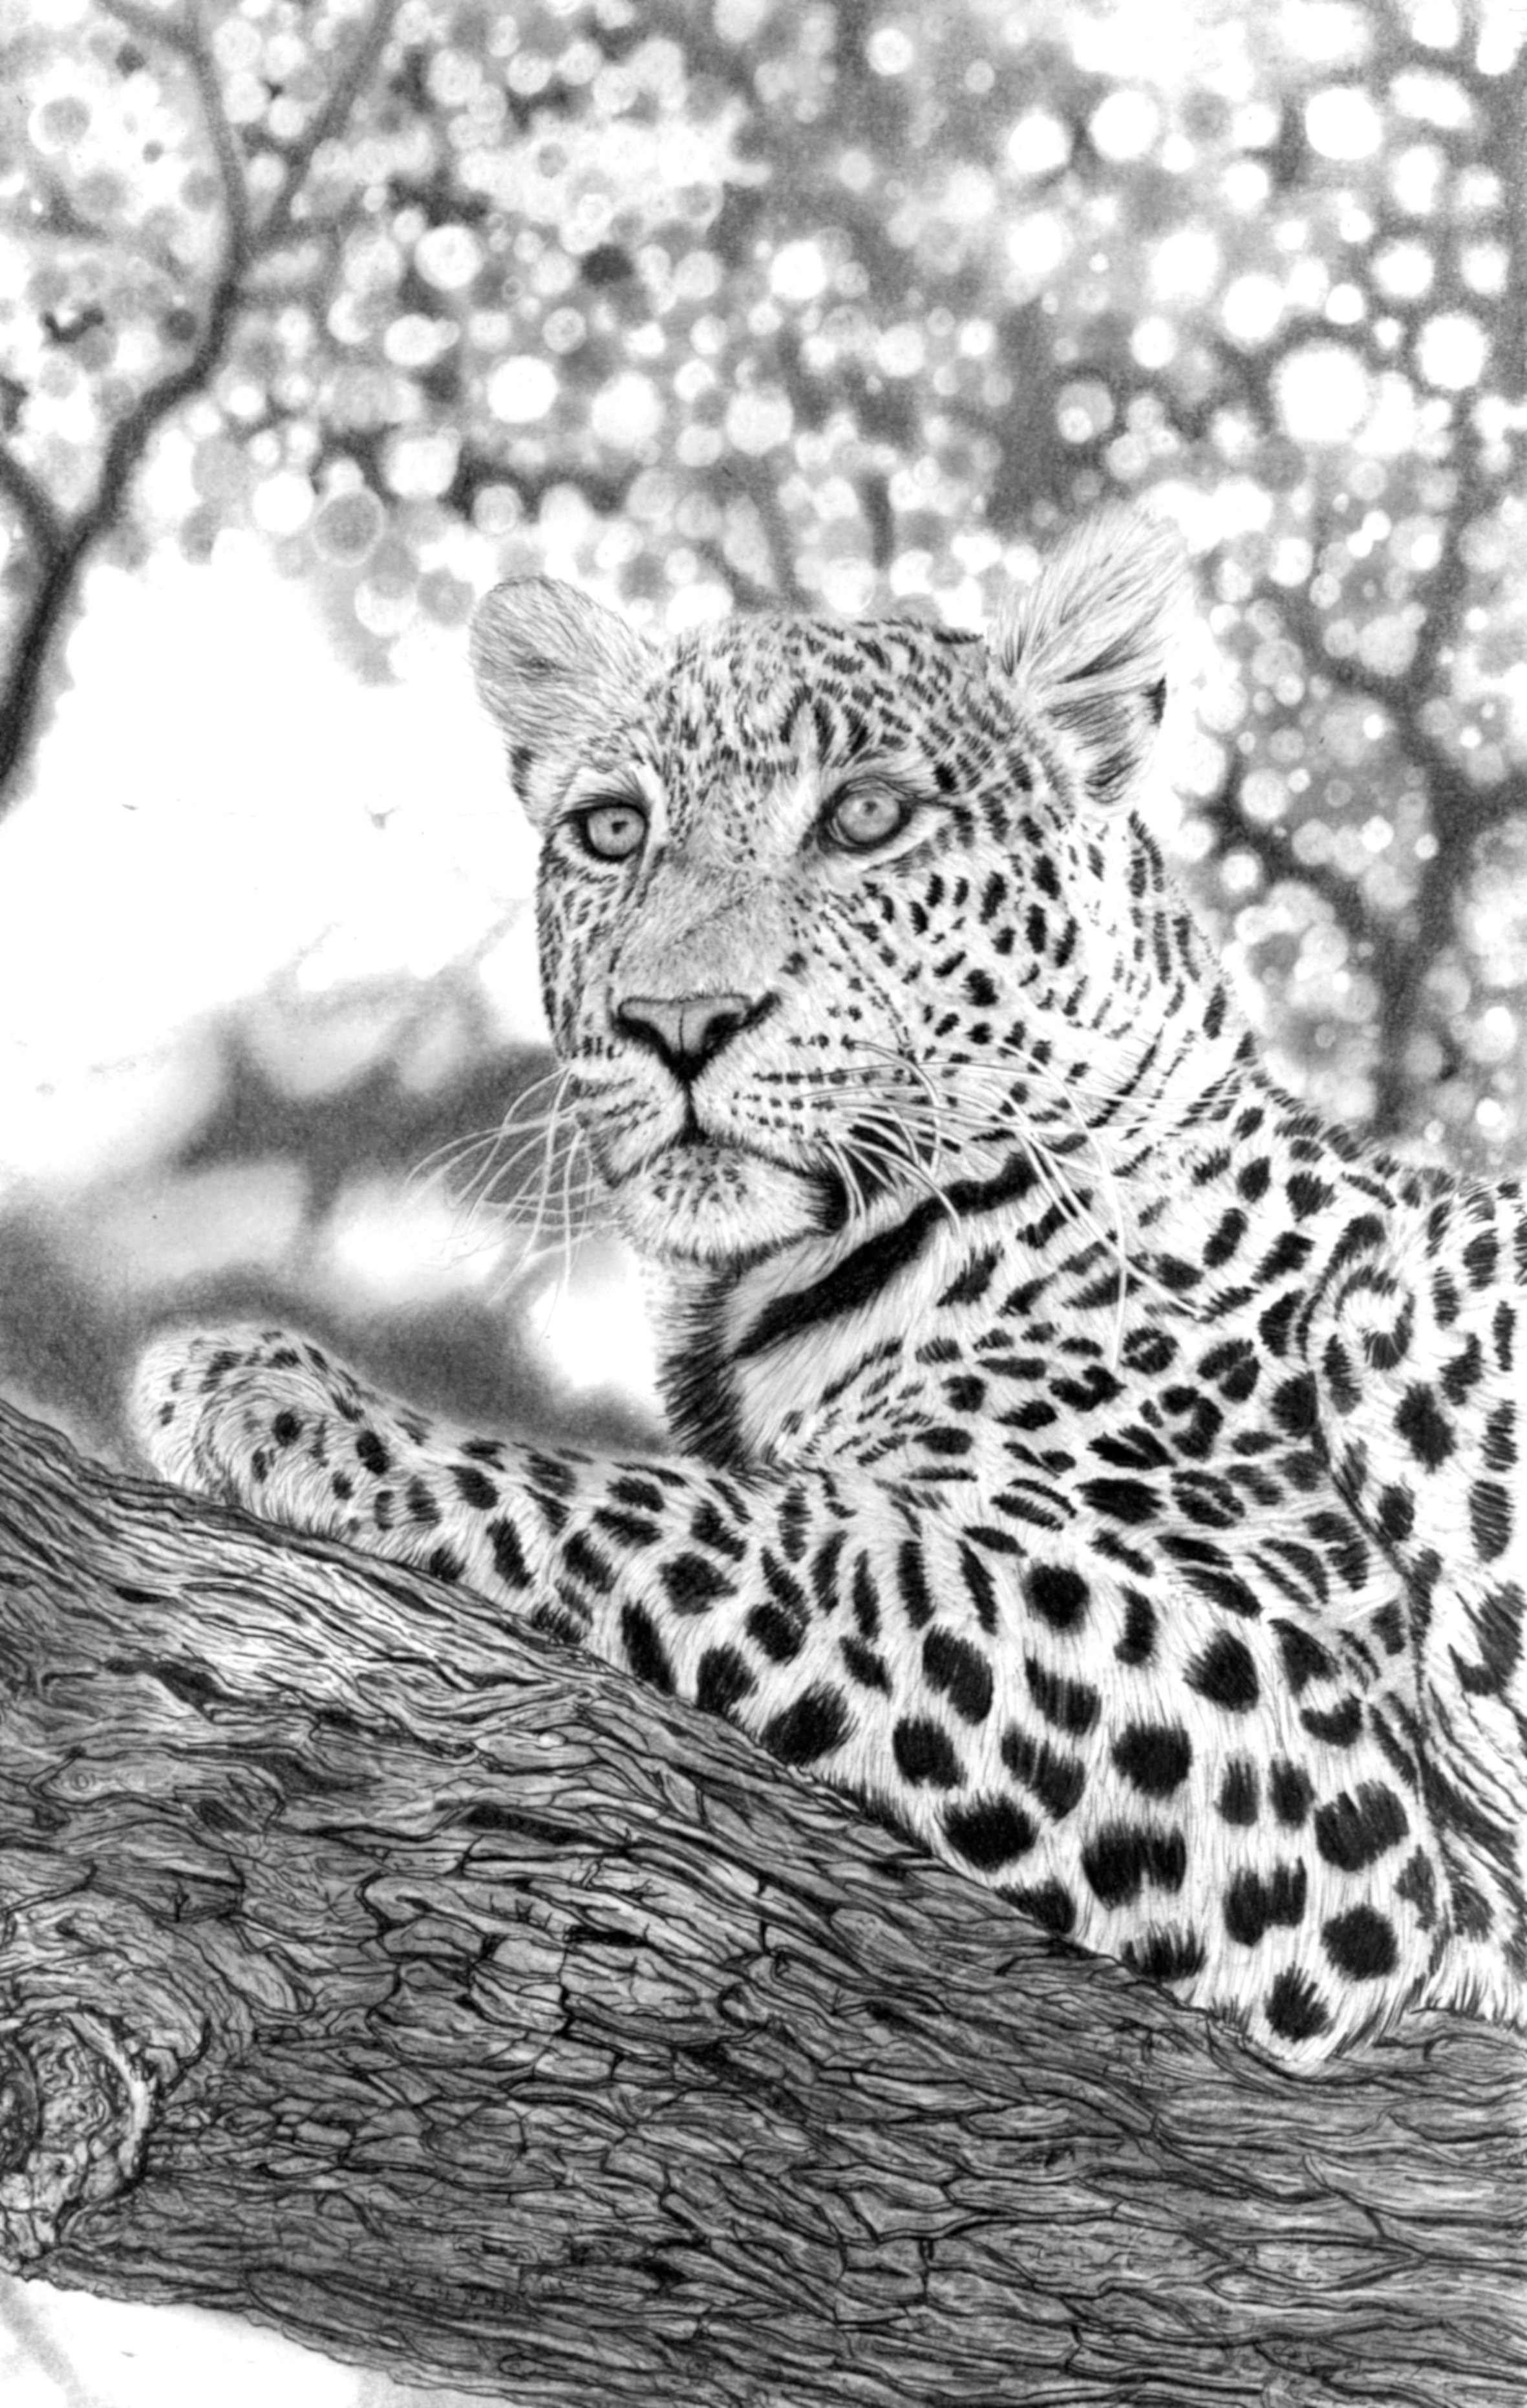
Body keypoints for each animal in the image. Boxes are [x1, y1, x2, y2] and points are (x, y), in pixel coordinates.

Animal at [132, 507, 1527, 2069]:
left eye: (863, 817)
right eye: (612, 829)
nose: (676, 1022)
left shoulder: (1303, 1730)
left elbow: (755, 1527)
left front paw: (275, 1396)